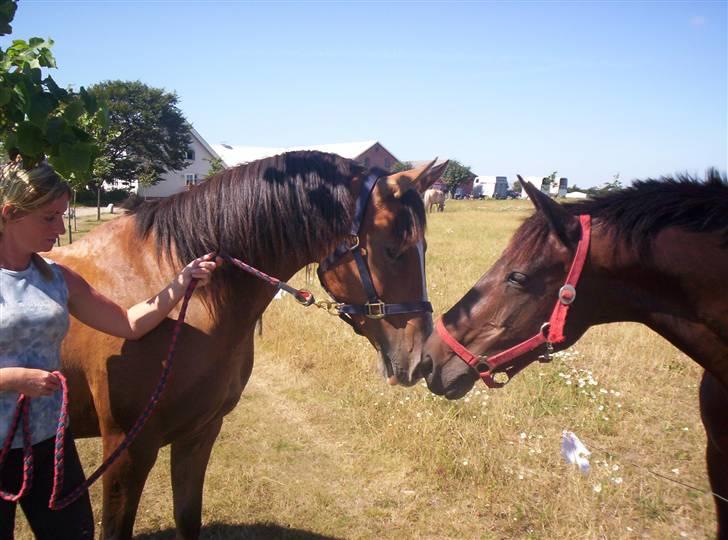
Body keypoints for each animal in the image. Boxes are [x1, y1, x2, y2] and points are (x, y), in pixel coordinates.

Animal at [51, 150, 446, 536]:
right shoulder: (126, 451)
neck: (173, 293)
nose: (421, 359)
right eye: (392, 249)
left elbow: (188, 518)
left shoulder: (199, 433)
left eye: (424, 248)